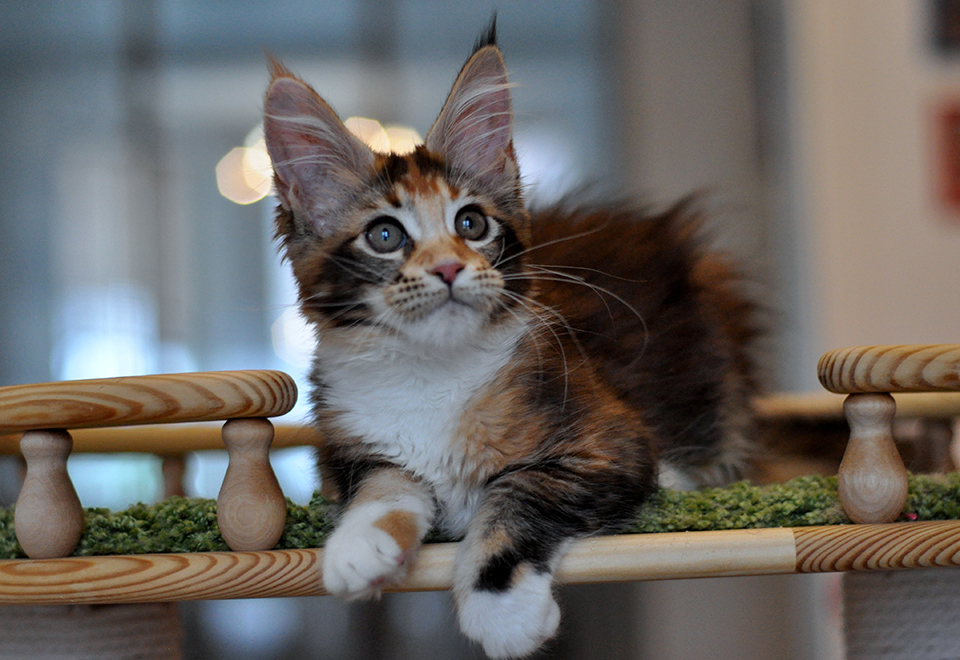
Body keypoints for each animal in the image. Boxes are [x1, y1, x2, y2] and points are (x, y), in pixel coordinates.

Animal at [262, 23, 756, 660]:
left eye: (471, 224)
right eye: (385, 236)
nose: (449, 268)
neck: (432, 374)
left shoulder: (609, 441)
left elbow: (516, 491)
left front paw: (500, 608)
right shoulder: (343, 447)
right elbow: (385, 482)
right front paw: (359, 543)